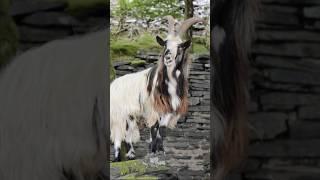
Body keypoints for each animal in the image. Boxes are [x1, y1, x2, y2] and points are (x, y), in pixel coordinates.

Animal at [110, 15, 205, 162]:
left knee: (128, 131)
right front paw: (153, 151)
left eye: (180, 46)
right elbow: (154, 128)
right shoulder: (152, 109)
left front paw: (159, 150)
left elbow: (162, 129)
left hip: (130, 115)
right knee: (118, 134)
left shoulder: (169, 109)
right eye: (165, 44)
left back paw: (131, 154)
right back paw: (117, 158)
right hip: (118, 113)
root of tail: (113, 84)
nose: (168, 57)